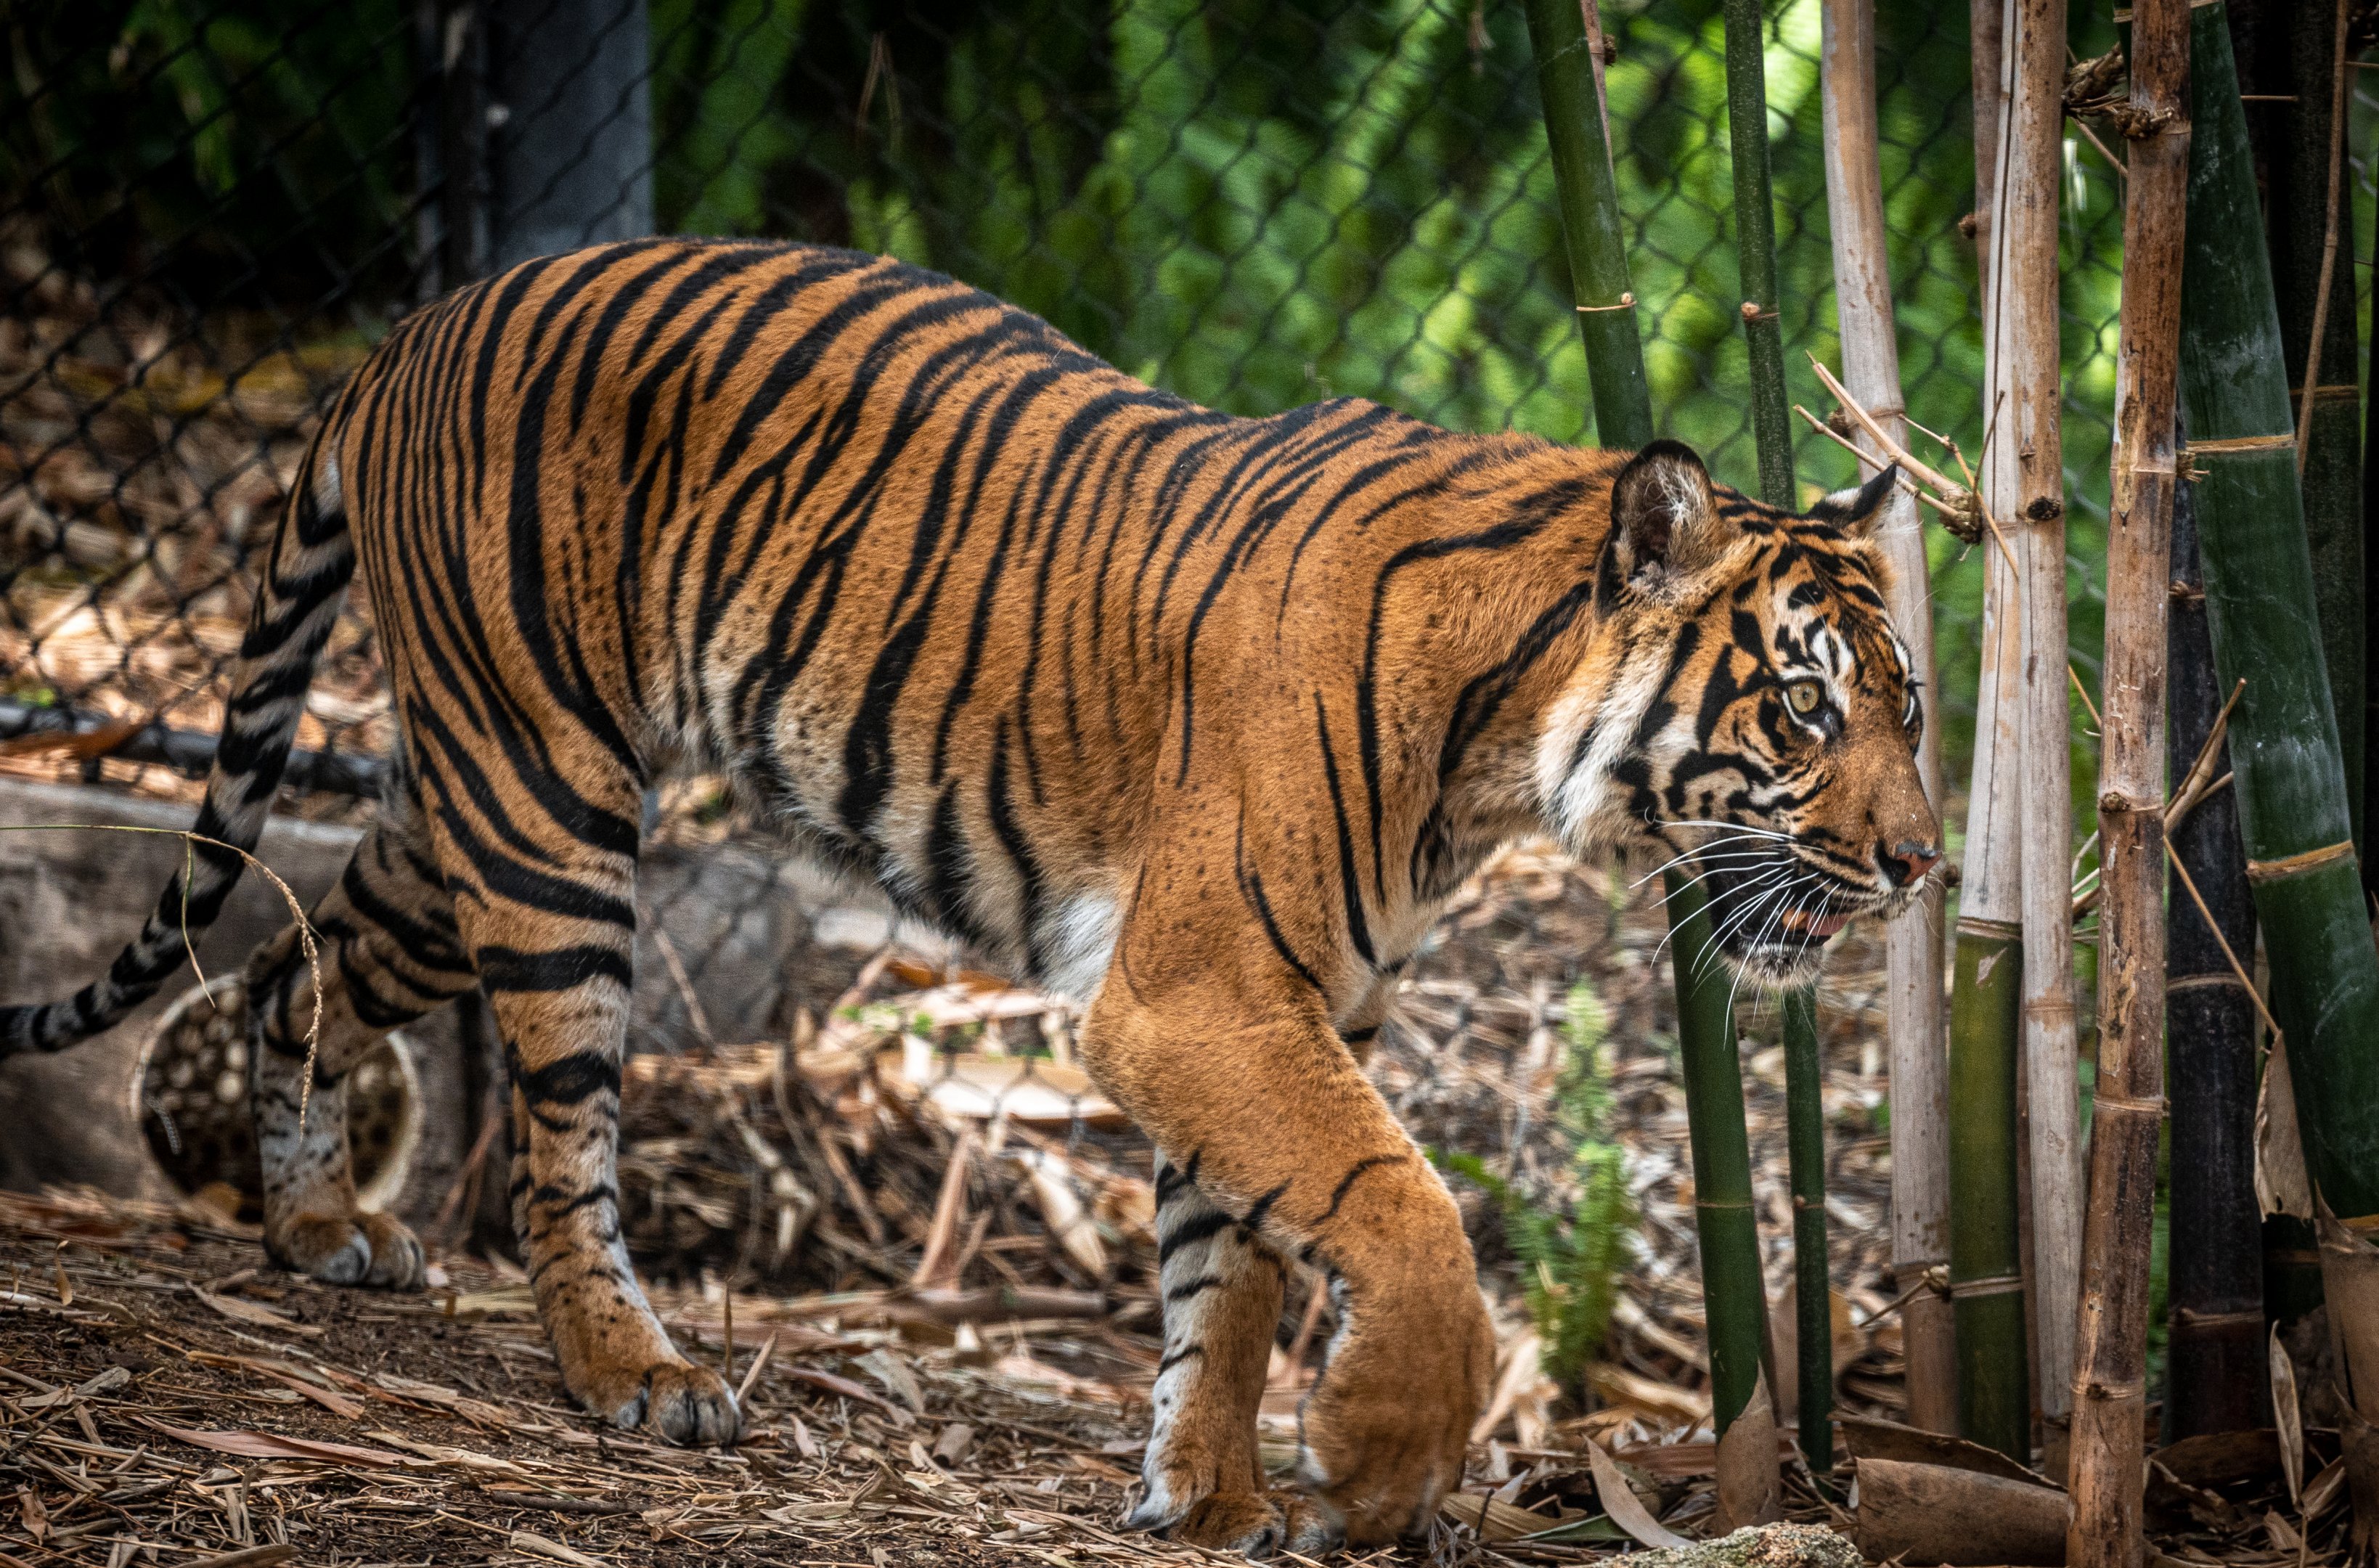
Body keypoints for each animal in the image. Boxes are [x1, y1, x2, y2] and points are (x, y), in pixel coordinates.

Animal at [0, 240, 1939, 1554]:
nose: (1922, 864)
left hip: (456, 807)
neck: (1500, 744)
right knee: (561, 1144)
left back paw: (315, 1223)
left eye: (1911, 709)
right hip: (550, 812)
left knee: (292, 967)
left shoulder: (1273, 1000)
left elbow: (1227, 1271)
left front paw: (1207, 1494)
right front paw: (1378, 1457)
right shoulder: (1200, 987)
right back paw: (631, 1371)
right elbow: (1395, 1210)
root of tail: (413, 326)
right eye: (1804, 707)